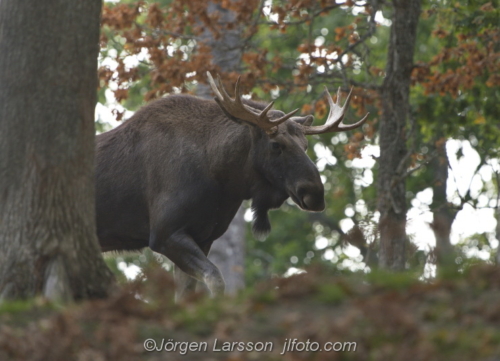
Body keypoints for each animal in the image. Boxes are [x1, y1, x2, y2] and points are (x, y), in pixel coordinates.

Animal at [95, 71, 368, 296]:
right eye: (276, 145)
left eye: (306, 145)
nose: (315, 194)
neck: (222, 178)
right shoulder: (164, 233)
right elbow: (216, 279)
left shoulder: (202, 238)